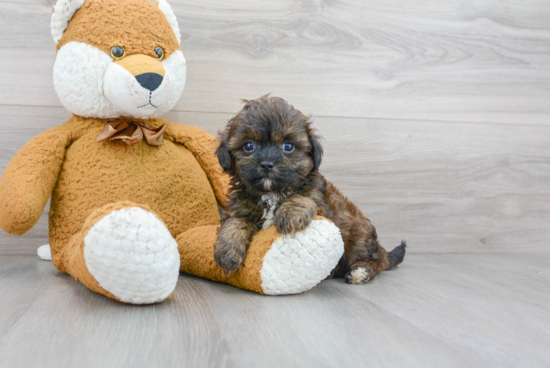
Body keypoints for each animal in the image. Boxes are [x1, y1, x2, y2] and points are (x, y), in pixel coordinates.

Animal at [213, 95, 408, 284]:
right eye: (248, 146)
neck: (271, 193)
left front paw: (290, 212)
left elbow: (304, 197)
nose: (267, 164)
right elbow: (236, 222)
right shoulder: (242, 209)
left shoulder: (322, 205)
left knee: (377, 260)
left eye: (288, 146)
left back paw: (361, 271)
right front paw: (227, 250)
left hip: (359, 235)